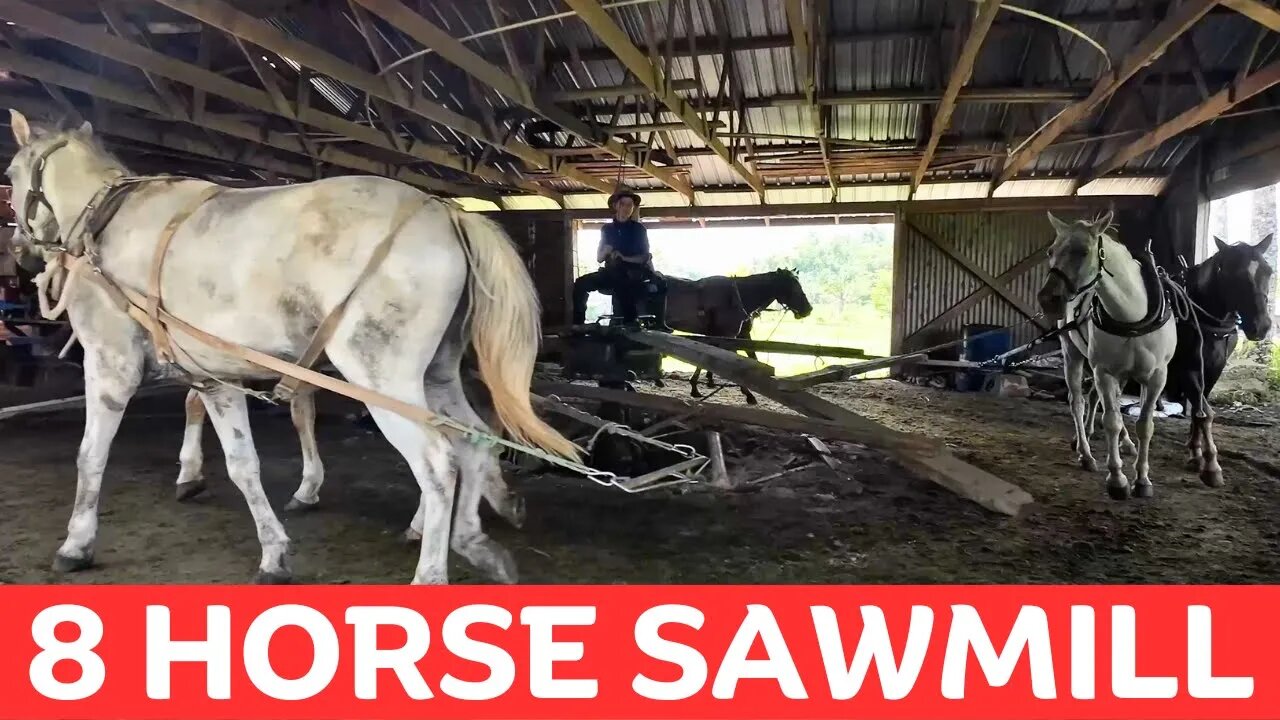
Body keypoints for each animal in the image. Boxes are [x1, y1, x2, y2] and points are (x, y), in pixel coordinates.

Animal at [5, 113, 576, 584]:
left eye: (9, 173)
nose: (20, 253)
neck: (104, 224)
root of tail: (445, 212)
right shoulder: (214, 377)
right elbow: (242, 463)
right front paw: (273, 553)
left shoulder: (110, 365)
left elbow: (90, 455)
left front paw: (76, 545)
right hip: (435, 374)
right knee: (475, 439)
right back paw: (476, 542)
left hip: (379, 375)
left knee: (438, 463)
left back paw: (430, 573)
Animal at [665, 269, 814, 399]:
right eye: (793, 286)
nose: (808, 309)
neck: (735, 297)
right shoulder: (729, 336)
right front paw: (748, 393)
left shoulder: (737, 335)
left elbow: (751, 357)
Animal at [1034, 210, 1172, 497]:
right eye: (1050, 251)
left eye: (1083, 251)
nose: (1047, 299)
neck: (1132, 316)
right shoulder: (1104, 372)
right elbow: (1111, 421)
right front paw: (1117, 478)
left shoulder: (1155, 377)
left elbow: (1145, 424)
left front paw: (1142, 479)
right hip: (1073, 354)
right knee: (1078, 401)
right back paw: (1085, 452)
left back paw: (1121, 442)